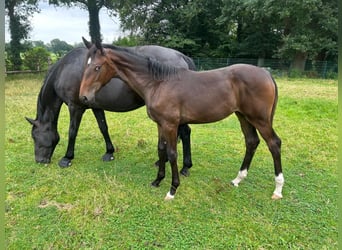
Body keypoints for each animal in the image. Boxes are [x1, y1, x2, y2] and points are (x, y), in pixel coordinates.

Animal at [26, 42, 195, 176]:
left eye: (34, 136)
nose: (39, 160)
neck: (64, 69)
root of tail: (180, 56)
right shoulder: (95, 106)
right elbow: (103, 128)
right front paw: (109, 152)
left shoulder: (76, 107)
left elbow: (72, 132)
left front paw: (67, 158)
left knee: (185, 133)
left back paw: (185, 167)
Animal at [79, 42, 284, 200]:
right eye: (85, 65)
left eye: (97, 67)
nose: (84, 97)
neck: (158, 83)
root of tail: (266, 74)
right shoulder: (160, 124)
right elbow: (161, 150)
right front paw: (157, 180)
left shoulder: (170, 125)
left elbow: (172, 154)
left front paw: (172, 189)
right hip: (243, 116)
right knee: (252, 142)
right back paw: (237, 179)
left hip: (260, 119)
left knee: (274, 143)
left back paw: (278, 189)